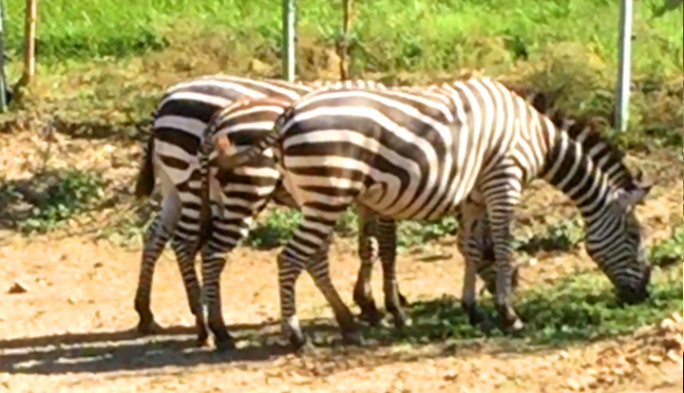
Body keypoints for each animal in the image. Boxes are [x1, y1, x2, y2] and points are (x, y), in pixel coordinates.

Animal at [222, 77, 656, 350]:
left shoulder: (476, 195)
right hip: (327, 194)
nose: (644, 294)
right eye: (634, 236)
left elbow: (471, 248)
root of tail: (285, 116)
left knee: (309, 258)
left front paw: (474, 310)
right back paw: (295, 336)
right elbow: (503, 245)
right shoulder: (504, 181)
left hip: (314, 196)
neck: (539, 135)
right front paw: (508, 314)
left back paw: (347, 325)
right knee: (288, 258)